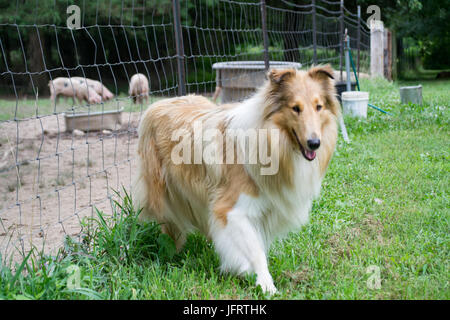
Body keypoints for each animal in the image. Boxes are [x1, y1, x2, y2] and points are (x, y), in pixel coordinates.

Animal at [133, 64, 338, 292]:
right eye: (295, 108)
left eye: (319, 107)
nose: (314, 143)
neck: (273, 139)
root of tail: (159, 102)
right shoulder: (232, 210)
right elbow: (256, 251)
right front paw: (264, 284)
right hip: (162, 196)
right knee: (170, 225)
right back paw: (172, 252)